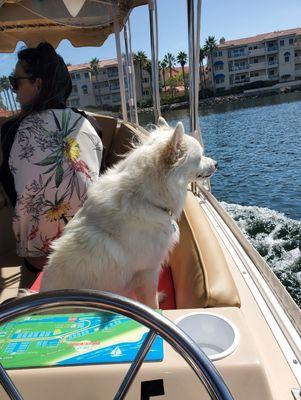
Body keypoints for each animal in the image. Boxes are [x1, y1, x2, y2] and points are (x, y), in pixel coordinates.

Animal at [41, 117, 217, 308]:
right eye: (199, 158)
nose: (217, 164)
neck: (145, 197)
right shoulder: (148, 271)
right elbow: (150, 301)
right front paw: (155, 307)